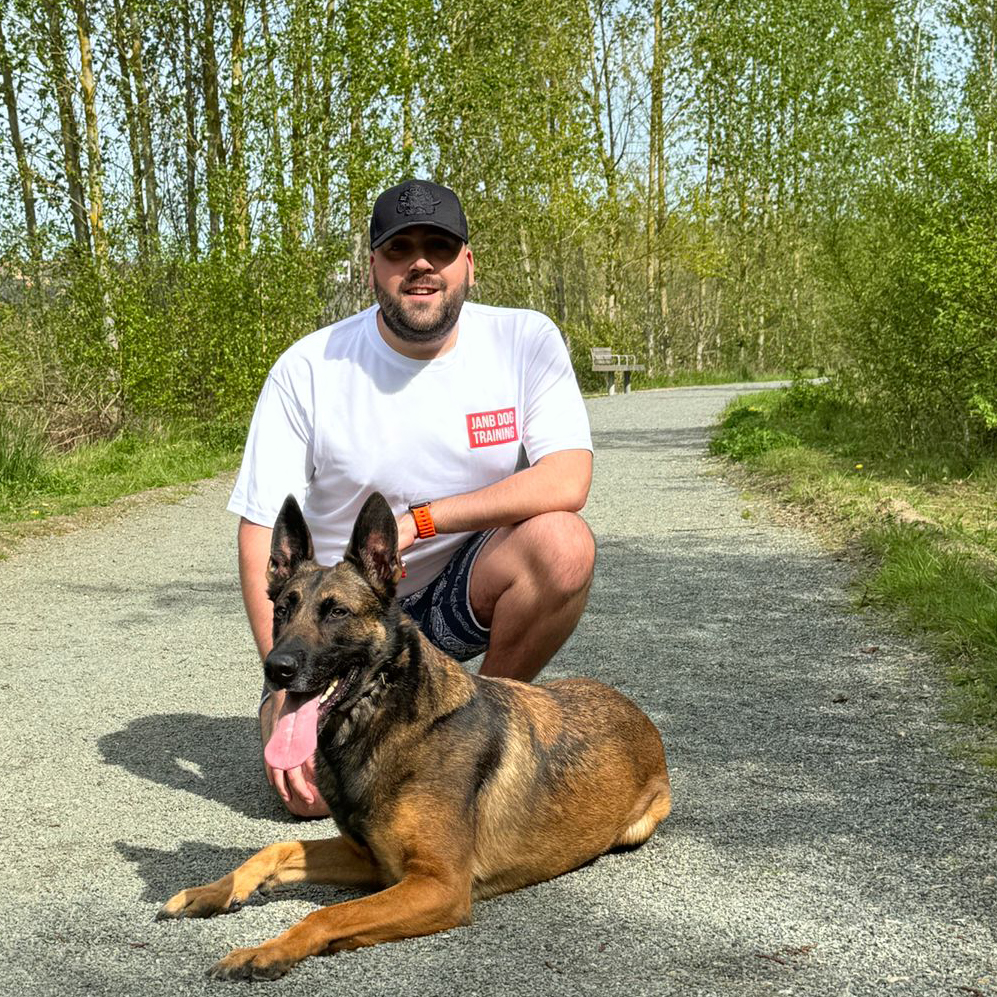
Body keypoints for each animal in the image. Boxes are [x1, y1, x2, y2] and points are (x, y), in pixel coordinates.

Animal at [158, 492, 668, 980]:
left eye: (337, 612)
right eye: (283, 609)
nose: (276, 668)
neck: (384, 725)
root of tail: (639, 713)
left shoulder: (437, 886)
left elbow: (327, 915)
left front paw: (268, 950)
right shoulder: (368, 859)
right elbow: (275, 847)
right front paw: (214, 890)